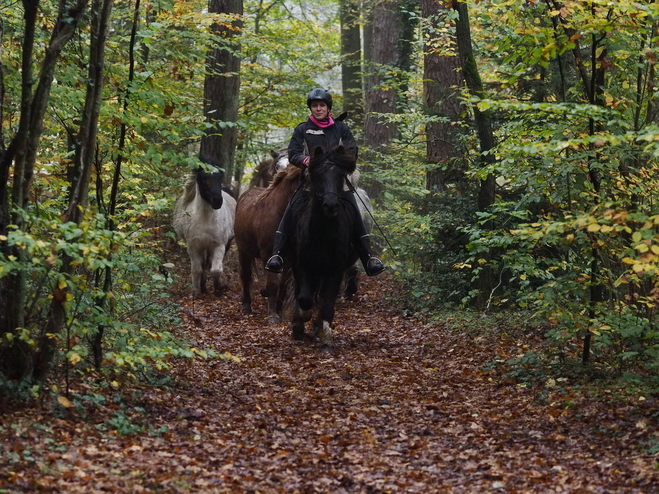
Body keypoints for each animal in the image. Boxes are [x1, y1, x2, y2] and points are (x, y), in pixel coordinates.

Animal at [173, 165, 237, 298]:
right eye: (205, 179)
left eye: (219, 179)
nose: (217, 201)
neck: (205, 220)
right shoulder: (193, 246)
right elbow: (197, 269)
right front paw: (197, 292)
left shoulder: (219, 245)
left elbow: (216, 269)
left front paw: (219, 289)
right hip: (203, 246)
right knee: (204, 264)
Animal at [233, 164, 302, 322]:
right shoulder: (268, 253)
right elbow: (272, 283)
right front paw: (272, 315)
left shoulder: (288, 258)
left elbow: (282, 284)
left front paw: (278, 309)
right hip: (243, 250)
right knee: (245, 275)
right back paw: (246, 307)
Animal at [290, 145, 360, 354]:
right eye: (318, 175)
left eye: (340, 175)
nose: (330, 205)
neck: (322, 233)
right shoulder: (301, 266)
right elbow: (304, 298)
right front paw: (301, 320)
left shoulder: (335, 270)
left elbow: (327, 304)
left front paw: (327, 339)